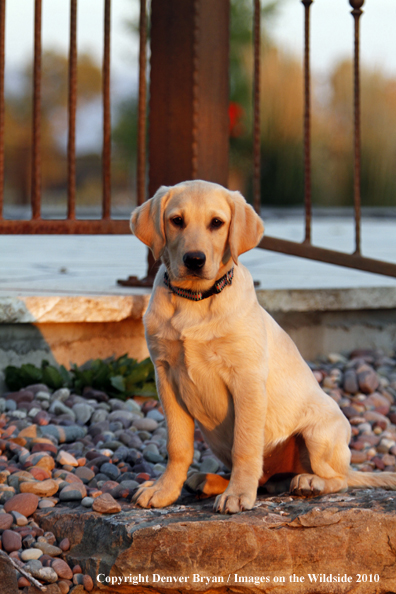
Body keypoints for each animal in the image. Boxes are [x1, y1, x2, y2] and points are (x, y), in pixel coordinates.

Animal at [131, 178, 396, 512]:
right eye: (176, 220)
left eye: (217, 223)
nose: (194, 259)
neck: (196, 300)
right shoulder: (166, 375)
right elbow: (178, 445)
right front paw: (164, 490)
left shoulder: (246, 380)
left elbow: (245, 444)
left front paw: (237, 495)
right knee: (265, 478)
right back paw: (210, 481)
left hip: (320, 434)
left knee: (338, 478)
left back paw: (309, 482)